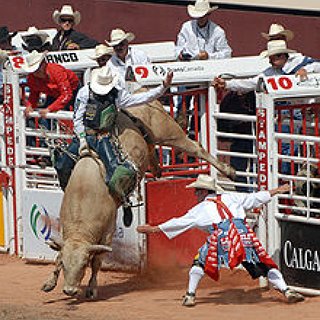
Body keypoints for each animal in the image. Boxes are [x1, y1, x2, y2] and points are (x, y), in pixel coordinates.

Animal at [42, 98, 235, 298]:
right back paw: (157, 169)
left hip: (168, 133)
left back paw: (229, 171)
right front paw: (49, 283)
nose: (69, 290)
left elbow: (98, 261)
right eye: (65, 265)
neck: (84, 196)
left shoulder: (108, 230)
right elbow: (58, 255)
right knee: (152, 153)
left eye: (83, 264)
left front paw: (92, 288)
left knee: (196, 147)